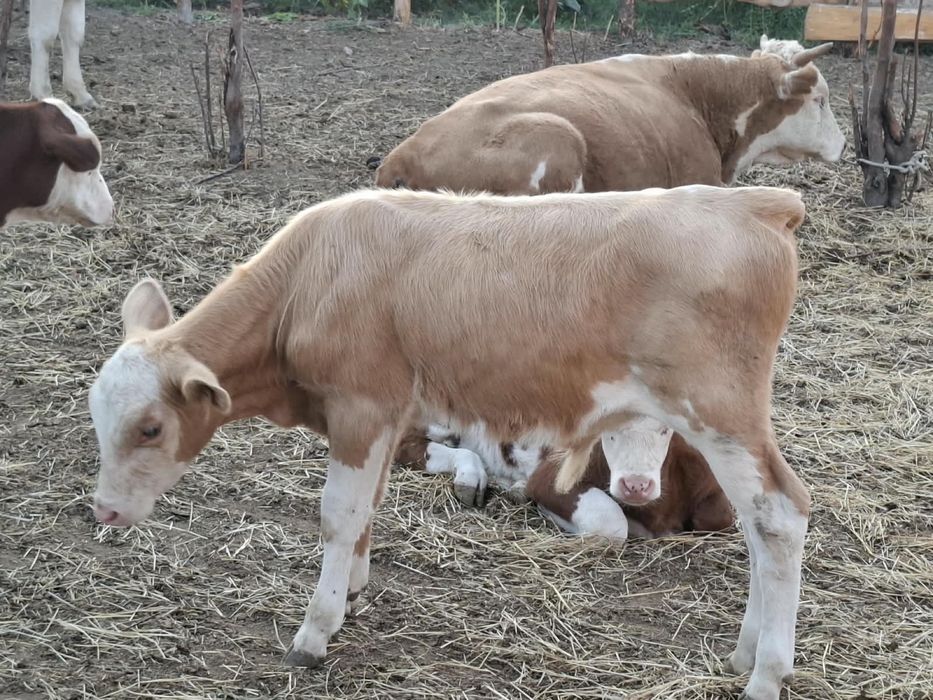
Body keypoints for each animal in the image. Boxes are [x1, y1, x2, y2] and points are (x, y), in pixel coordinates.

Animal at [88, 184, 810, 700]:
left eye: (150, 427)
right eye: (98, 418)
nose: (105, 510)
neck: (308, 278)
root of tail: (756, 201)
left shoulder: (361, 404)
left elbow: (339, 513)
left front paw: (315, 630)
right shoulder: (386, 415)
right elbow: (370, 505)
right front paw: (353, 591)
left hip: (716, 409)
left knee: (779, 515)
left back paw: (765, 674)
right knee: (756, 524)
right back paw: (744, 651)